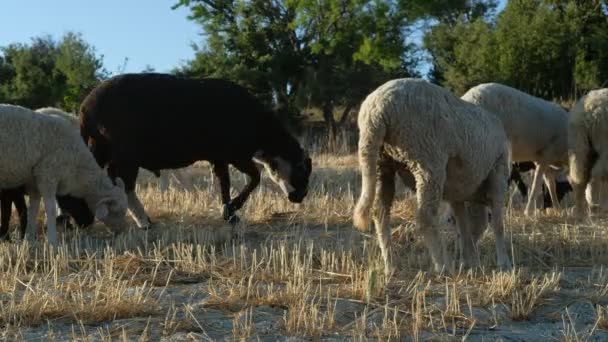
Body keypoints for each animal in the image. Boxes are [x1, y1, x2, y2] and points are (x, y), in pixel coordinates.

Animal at [0, 104, 127, 246]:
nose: (122, 232)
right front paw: (52, 242)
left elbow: (33, 209)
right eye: (116, 212)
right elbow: (50, 209)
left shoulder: (34, 182)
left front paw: (29, 240)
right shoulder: (47, 175)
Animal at [78, 72, 312, 227]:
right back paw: (143, 221)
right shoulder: (235, 154)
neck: (262, 130)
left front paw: (229, 212)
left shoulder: (219, 157)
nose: (301, 197)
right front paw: (234, 208)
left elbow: (224, 183)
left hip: (102, 150)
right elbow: (255, 177)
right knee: (124, 184)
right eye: (301, 168)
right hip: (125, 154)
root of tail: (85, 109)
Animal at [352, 78, 512, 276]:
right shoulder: (498, 172)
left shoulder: (457, 191)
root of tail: (376, 111)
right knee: (425, 217)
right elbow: (497, 222)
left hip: (383, 162)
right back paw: (442, 266)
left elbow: (463, 226)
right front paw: (503, 263)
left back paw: (391, 265)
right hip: (428, 161)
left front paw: (469, 261)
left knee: (380, 211)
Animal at [460, 83, 568, 216]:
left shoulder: (544, 159)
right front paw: (529, 211)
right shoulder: (545, 155)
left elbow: (550, 184)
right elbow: (537, 185)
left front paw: (558, 209)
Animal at [568, 88, 608, 216]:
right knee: (597, 173)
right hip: (603, 140)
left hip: (578, 142)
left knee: (579, 176)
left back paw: (578, 210)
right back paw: (596, 206)